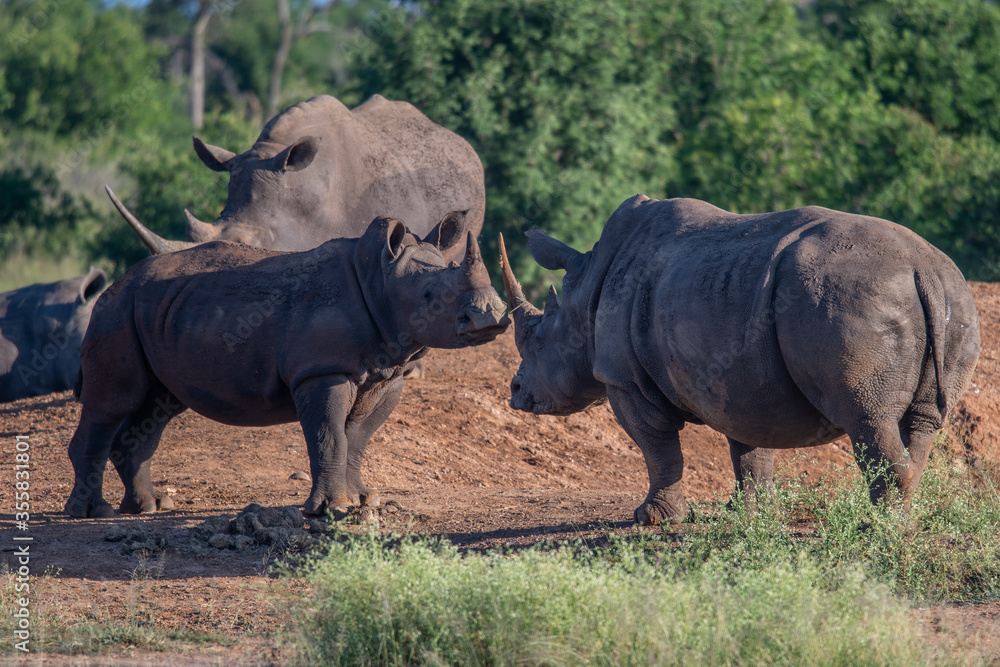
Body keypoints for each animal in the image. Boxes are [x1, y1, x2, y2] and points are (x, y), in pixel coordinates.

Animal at [65, 212, 509, 518]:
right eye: (429, 295)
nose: (488, 318)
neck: (379, 280)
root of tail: (116, 284)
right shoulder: (321, 370)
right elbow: (329, 435)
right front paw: (331, 509)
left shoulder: (387, 374)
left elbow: (357, 437)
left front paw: (362, 499)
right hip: (116, 312)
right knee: (113, 404)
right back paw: (92, 513)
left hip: (156, 311)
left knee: (158, 405)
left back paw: (152, 506)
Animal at [499, 195, 980, 525]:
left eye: (538, 339)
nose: (516, 391)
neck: (586, 291)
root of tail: (922, 269)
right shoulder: (742, 378)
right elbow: (750, 445)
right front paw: (750, 513)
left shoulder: (623, 378)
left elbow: (658, 447)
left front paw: (652, 519)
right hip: (955, 300)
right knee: (921, 420)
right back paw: (901, 521)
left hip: (854, 298)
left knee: (867, 415)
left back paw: (878, 531)